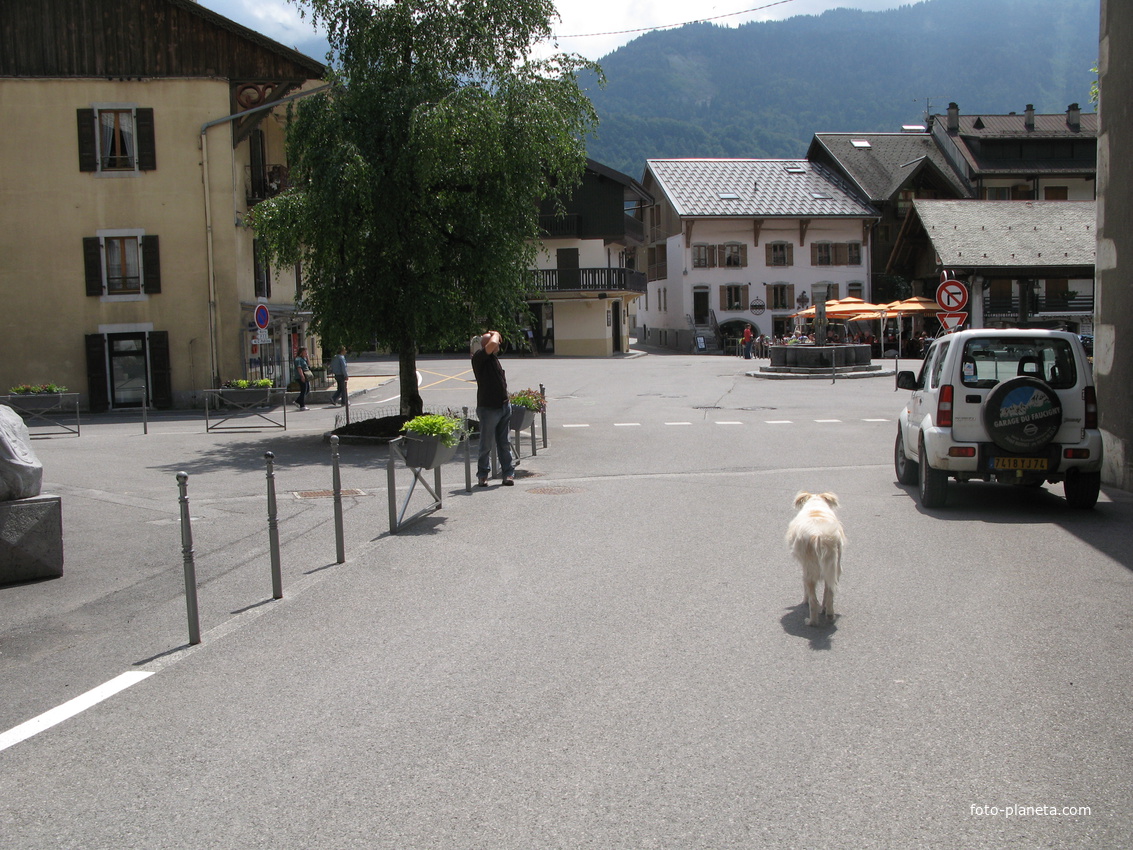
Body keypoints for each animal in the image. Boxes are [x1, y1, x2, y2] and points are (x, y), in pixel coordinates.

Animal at [793, 491, 847, 625]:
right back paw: (829, 613)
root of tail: (820, 535)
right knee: (830, 592)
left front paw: (805, 601)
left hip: (810, 570)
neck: (816, 503)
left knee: (813, 600)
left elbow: (805, 588)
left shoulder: (804, 567)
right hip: (834, 568)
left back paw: (811, 621)